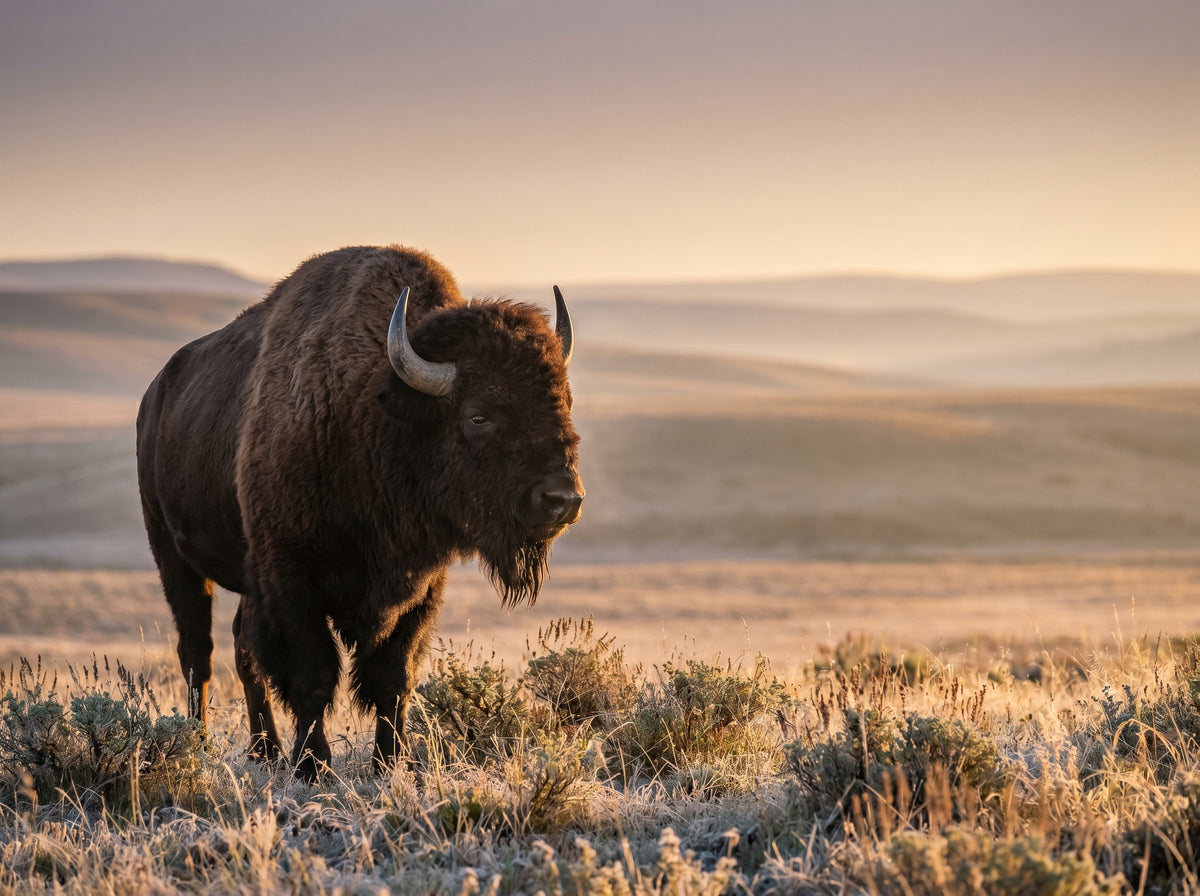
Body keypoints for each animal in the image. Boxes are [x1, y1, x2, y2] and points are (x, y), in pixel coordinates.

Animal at [136, 245, 583, 779]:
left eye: (564, 403)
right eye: (479, 416)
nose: (563, 499)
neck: (373, 413)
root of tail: (155, 395)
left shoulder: (419, 588)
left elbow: (394, 678)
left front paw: (390, 764)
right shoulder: (290, 579)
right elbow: (312, 676)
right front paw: (314, 767)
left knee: (243, 649)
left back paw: (264, 751)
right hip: (173, 556)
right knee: (196, 652)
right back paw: (198, 743)